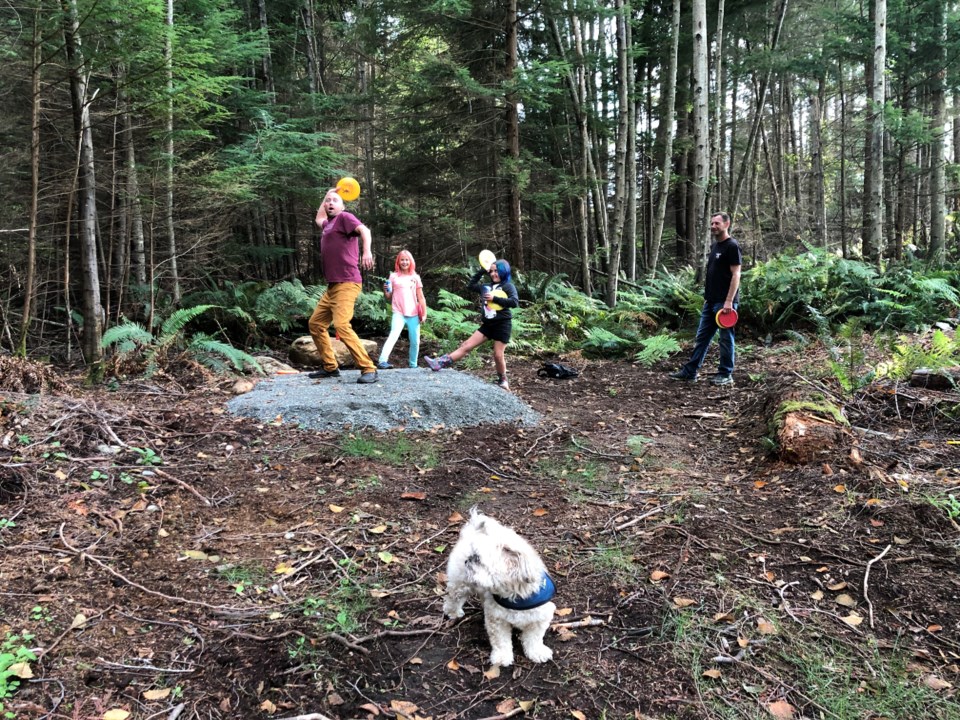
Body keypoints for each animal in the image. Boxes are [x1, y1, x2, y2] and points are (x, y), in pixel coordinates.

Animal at [442, 510, 556, 668]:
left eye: (477, 558)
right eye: (473, 555)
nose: (468, 561)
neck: (516, 595)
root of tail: (472, 531)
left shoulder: (540, 618)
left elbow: (534, 638)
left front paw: (537, 652)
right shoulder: (496, 620)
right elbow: (501, 641)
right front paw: (502, 657)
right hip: (460, 584)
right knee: (453, 598)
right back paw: (453, 612)